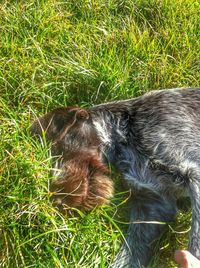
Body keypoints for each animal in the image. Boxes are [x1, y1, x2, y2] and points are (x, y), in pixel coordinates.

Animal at [30, 87, 200, 266]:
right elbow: (128, 256)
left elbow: (195, 245)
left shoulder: (194, 173)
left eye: (57, 149)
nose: (57, 203)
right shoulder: (153, 206)